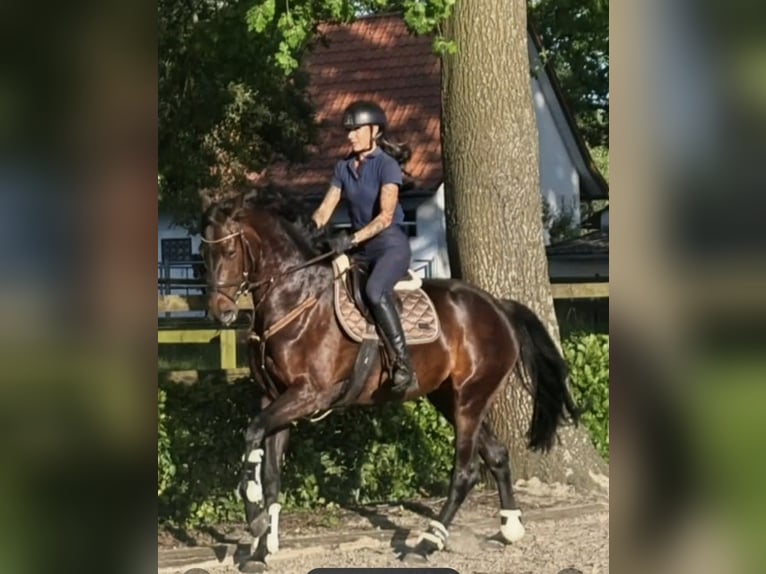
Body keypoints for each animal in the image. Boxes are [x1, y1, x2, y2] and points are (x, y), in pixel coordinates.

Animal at [199, 188, 578, 571]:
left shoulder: (309, 394)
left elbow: (252, 433)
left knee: (466, 470)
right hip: (448, 398)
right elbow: (271, 470)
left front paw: (254, 514)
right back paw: (510, 527)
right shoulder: (275, 397)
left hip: (470, 398)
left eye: (229, 251)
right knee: (497, 454)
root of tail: (498, 307)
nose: (220, 312)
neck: (296, 295)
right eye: (204, 252)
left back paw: (426, 543)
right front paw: (261, 548)